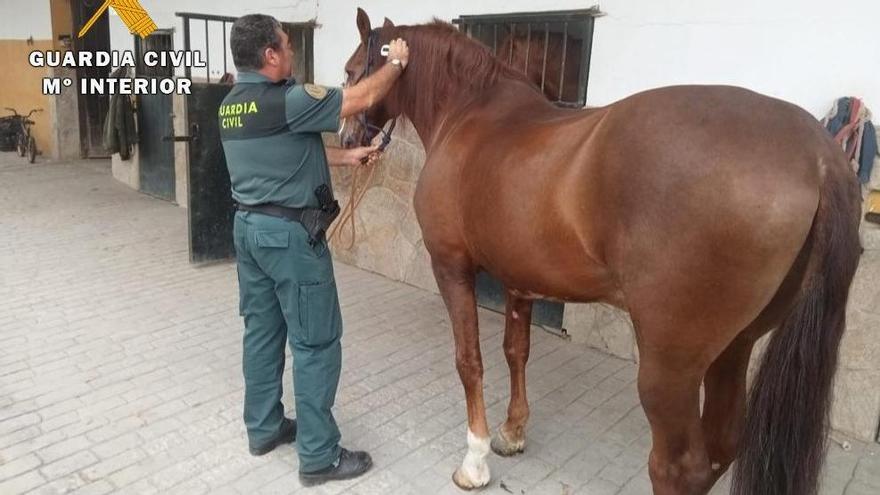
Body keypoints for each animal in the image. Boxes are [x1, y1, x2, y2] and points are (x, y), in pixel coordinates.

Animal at [340, 8, 864, 495]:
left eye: (349, 71)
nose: (347, 139)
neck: (469, 115)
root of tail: (818, 155)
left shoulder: (451, 265)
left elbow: (470, 360)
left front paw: (476, 459)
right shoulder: (519, 280)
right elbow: (516, 352)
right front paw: (512, 433)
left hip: (669, 368)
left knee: (679, 467)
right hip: (735, 348)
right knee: (722, 446)